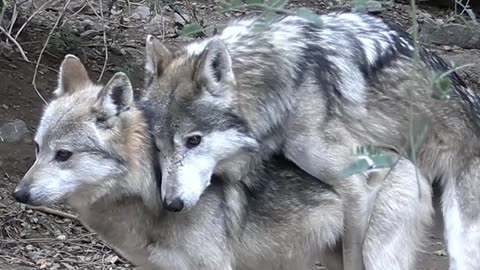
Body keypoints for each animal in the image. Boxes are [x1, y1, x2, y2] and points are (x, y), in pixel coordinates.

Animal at [141, 12, 480, 270]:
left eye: (193, 141)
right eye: (158, 146)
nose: (171, 204)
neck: (288, 86)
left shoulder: (357, 185)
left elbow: (353, 257)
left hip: (461, 238)